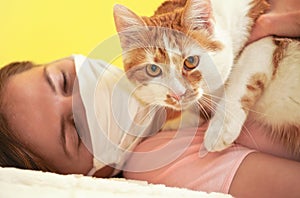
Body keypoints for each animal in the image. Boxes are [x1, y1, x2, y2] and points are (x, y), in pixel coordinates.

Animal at [112, 0, 300, 156]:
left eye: (191, 62)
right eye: (153, 69)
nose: (177, 94)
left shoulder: (273, 35)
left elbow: (247, 59)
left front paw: (220, 128)